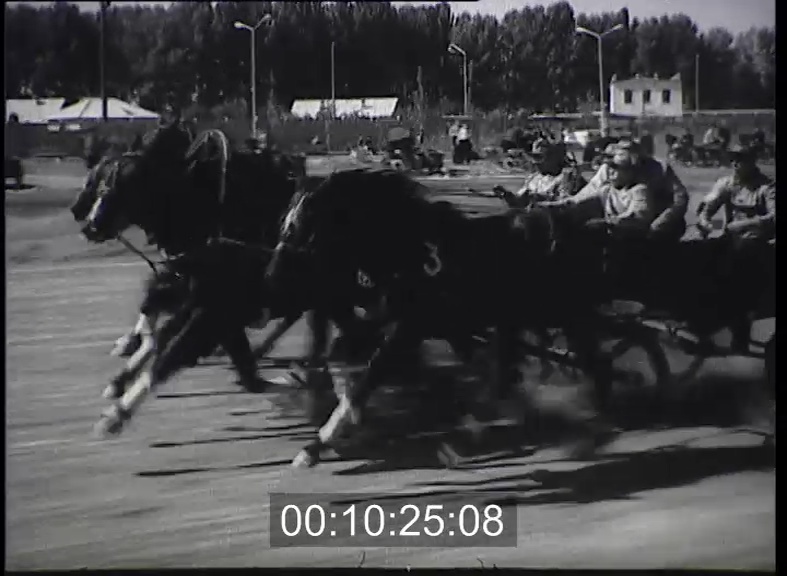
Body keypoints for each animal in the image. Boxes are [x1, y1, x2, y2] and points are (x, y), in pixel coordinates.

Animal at [265, 168, 630, 467]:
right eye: (285, 224)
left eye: (301, 229)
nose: (270, 286)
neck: (414, 255)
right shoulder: (413, 323)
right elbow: (346, 357)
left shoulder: (410, 328)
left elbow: (368, 378)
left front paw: (317, 444)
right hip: (519, 318)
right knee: (525, 367)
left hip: (568, 314)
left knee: (595, 363)